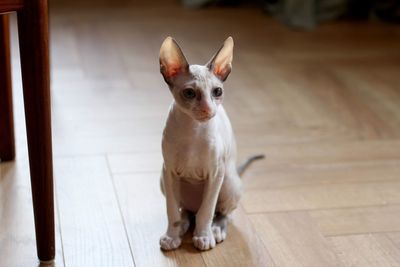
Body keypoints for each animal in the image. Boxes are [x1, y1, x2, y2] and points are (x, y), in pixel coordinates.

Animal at [159, 36, 262, 251]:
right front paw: (171, 237)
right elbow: (171, 211)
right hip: (164, 181)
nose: (208, 109)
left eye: (217, 91)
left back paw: (216, 229)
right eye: (190, 93)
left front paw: (203, 237)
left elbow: (206, 211)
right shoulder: (169, 171)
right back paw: (183, 225)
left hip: (228, 180)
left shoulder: (215, 173)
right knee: (186, 211)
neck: (192, 130)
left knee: (220, 213)